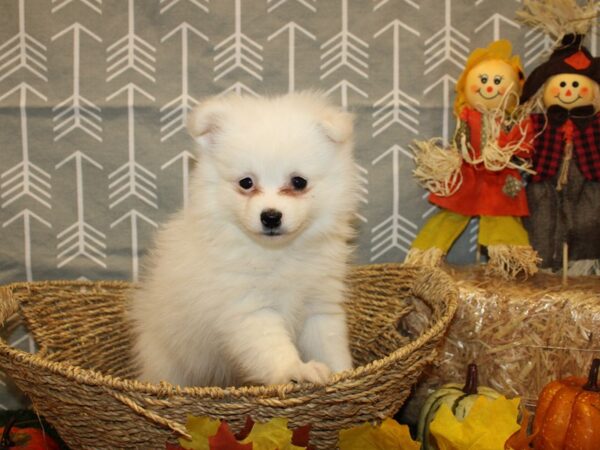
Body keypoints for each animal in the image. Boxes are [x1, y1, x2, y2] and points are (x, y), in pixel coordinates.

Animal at [129, 91, 358, 386]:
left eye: (299, 182)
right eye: (246, 183)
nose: (270, 216)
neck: (279, 253)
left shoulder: (319, 304)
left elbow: (330, 344)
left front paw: (345, 374)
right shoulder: (248, 309)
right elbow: (272, 347)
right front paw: (295, 370)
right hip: (168, 361)